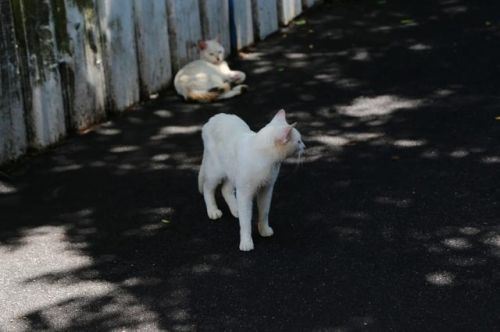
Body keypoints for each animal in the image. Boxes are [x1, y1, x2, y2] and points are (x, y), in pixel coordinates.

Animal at [199, 110, 304, 250]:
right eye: (298, 141)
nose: (305, 146)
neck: (268, 162)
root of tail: (212, 119)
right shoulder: (244, 193)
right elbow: (245, 222)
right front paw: (246, 243)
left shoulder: (266, 189)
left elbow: (264, 212)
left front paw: (264, 231)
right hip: (215, 172)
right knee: (207, 188)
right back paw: (213, 211)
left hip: (232, 173)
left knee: (225, 189)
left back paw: (236, 210)